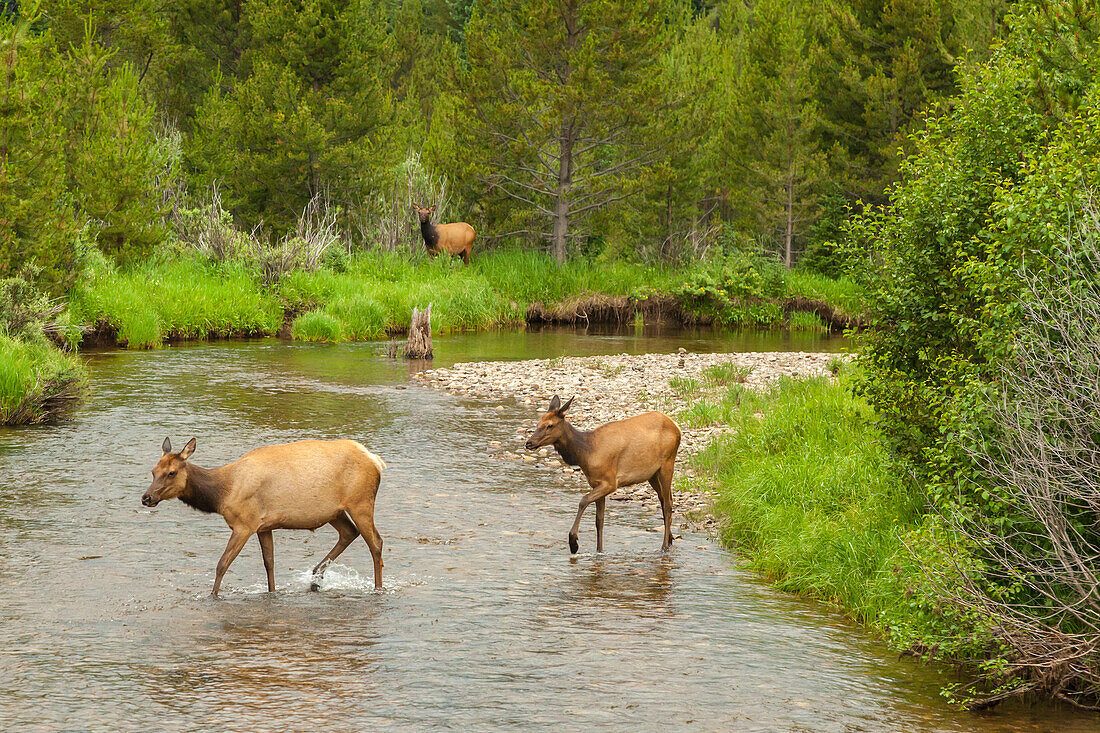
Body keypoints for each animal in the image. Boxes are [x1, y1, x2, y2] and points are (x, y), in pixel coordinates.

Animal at [140, 433, 387, 594]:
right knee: (349, 533)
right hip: (334, 511)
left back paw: (378, 587)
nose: (146, 498)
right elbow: (269, 563)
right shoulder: (264, 526)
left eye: (171, 472)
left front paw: (213, 595)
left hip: (360, 502)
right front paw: (272, 591)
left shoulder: (244, 525)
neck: (221, 494)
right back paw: (315, 578)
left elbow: (222, 564)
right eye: (153, 471)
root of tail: (376, 460)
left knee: (375, 542)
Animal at [523, 396, 677, 550]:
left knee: (668, 504)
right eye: (538, 423)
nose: (529, 443)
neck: (585, 454)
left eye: (550, 425)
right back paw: (670, 539)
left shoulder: (610, 482)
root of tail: (677, 428)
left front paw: (574, 542)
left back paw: (664, 546)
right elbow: (599, 520)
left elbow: (583, 500)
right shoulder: (596, 483)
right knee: (664, 500)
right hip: (652, 474)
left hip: (667, 463)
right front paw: (599, 550)